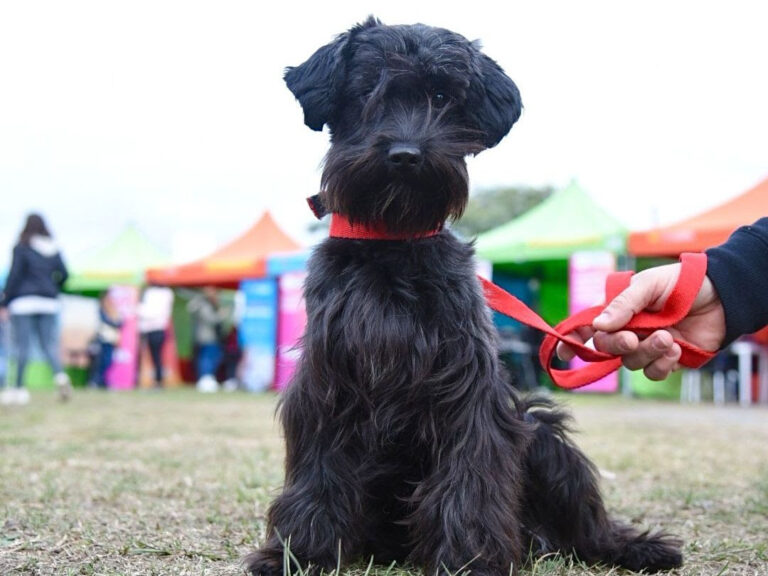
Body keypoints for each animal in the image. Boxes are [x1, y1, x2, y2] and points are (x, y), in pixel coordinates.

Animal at [248, 18, 684, 576]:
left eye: (441, 96)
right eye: (367, 90)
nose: (406, 155)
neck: (395, 243)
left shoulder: (468, 387)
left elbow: (469, 476)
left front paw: (469, 557)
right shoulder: (327, 383)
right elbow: (319, 471)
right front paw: (300, 553)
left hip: (539, 431)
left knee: (587, 526)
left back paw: (633, 547)